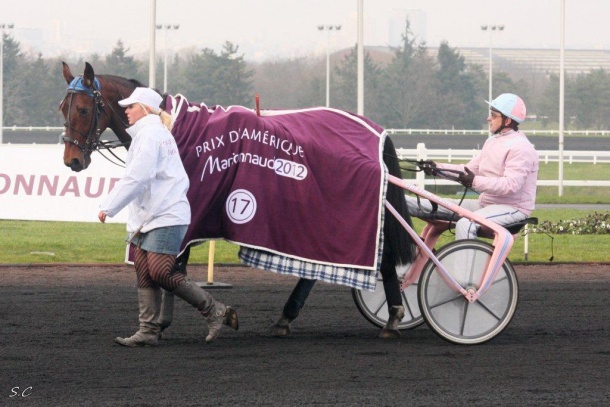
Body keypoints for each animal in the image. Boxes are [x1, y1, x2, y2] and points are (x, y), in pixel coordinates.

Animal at [59, 62, 415, 338]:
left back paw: (394, 316)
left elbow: (172, 268)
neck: (171, 126)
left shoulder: (189, 213)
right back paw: (288, 318)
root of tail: (375, 132)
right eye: (63, 108)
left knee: (381, 256)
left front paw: (164, 323)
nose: (72, 160)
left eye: (83, 109)